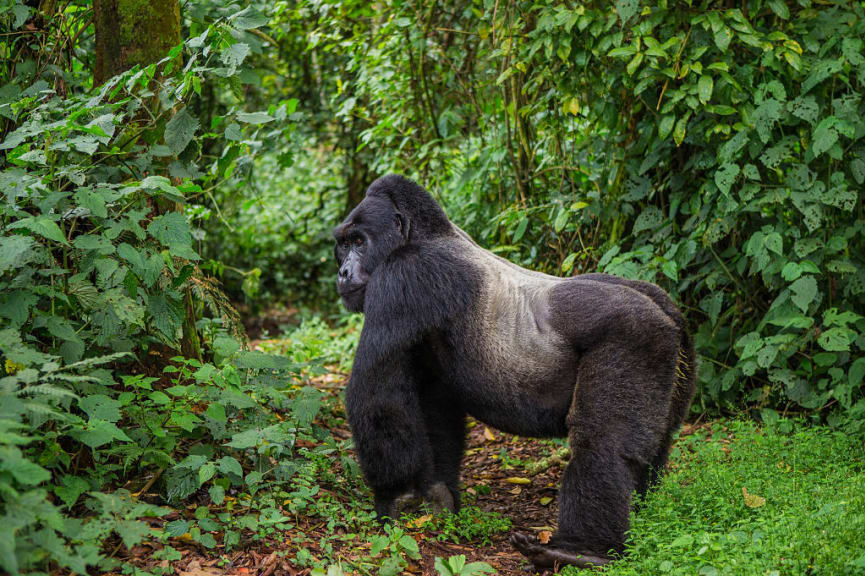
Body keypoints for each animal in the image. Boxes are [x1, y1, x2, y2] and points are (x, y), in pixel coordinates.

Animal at [330, 176, 696, 572]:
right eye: (342, 245)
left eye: (359, 242)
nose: (342, 273)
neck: (424, 234)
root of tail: (668, 313)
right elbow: (435, 408)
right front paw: (436, 495)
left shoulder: (405, 276)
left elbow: (378, 396)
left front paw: (398, 496)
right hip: (677, 351)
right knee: (656, 442)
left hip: (638, 335)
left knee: (602, 443)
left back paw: (581, 551)